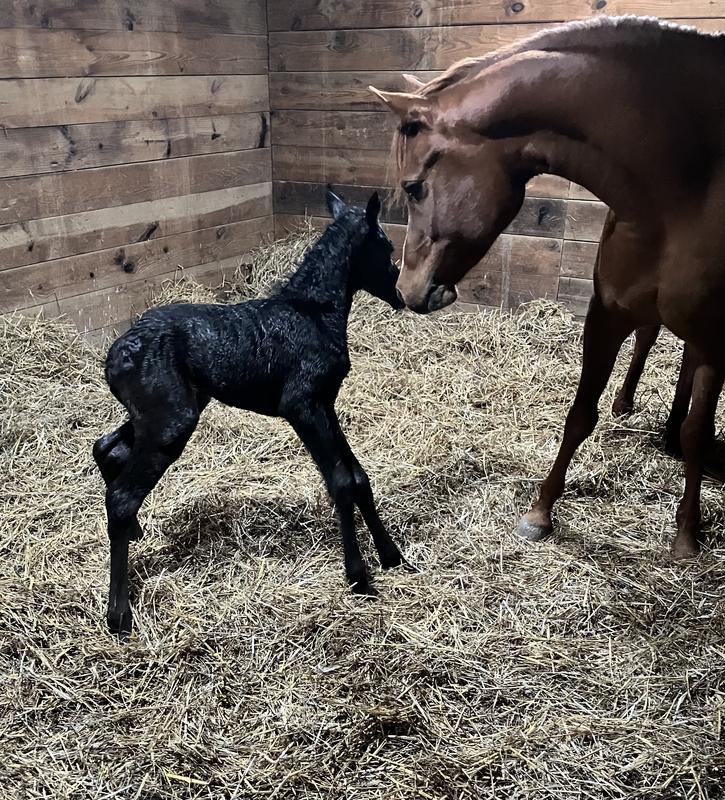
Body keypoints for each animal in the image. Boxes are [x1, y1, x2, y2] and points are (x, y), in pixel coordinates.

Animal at [94, 190, 407, 636]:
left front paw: (392, 556)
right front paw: (359, 577)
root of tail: (115, 356)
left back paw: (136, 533)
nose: (401, 294)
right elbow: (342, 481)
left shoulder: (326, 403)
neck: (313, 312)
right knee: (121, 495)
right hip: (171, 420)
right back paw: (119, 614)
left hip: (164, 411)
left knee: (107, 448)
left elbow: (359, 476)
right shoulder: (303, 404)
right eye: (387, 246)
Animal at [371, 16, 725, 559]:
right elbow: (580, 415)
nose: (407, 289)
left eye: (413, 187)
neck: (684, 189)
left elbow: (698, 433)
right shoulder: (606, 315)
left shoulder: (713, 340)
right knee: (649, 339)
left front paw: (687, 533)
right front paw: (539, 514)